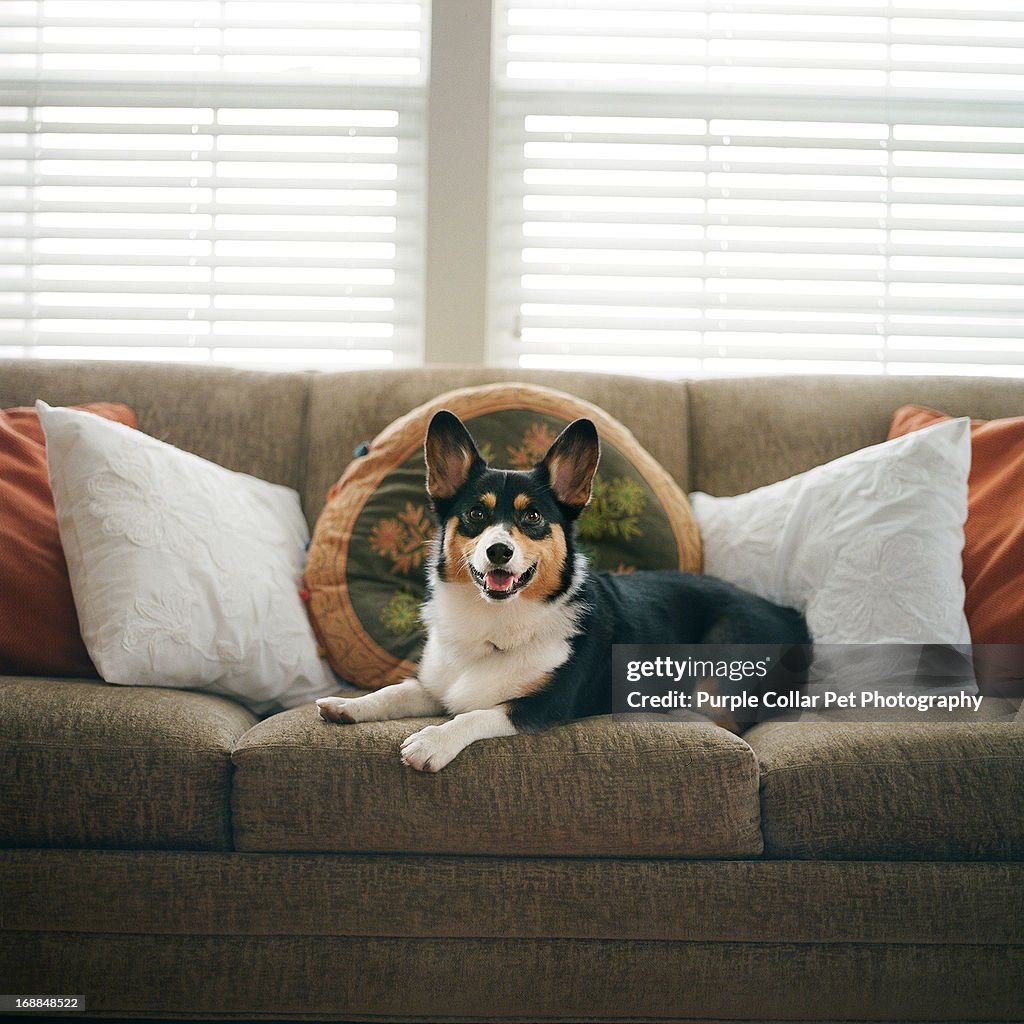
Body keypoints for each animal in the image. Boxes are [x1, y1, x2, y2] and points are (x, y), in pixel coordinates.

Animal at [315, 407, 811, 770]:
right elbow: (394, 692)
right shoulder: (436, 685)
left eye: (532, 517)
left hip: (723, 664)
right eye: (476, 514)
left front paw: (431, 742)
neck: (495, 620)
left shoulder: (543, 705)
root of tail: (791, 615)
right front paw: (346, 705)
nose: (498, 551)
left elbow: (476, 713)